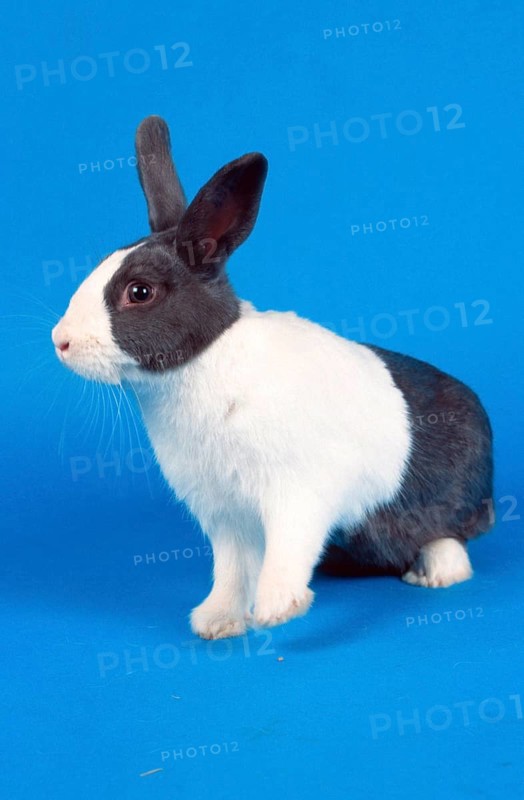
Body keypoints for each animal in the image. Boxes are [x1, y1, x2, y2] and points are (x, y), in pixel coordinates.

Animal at [52, 115, 494, 640]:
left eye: (140, 292)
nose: (60, 340)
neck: (202, 364)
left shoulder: (297, 495)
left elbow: (287, 549)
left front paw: (277, 609)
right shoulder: (224, 515)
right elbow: (231, 568)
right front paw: (217, 621)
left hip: (451, 498)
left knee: (452, 536)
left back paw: (436, 573)